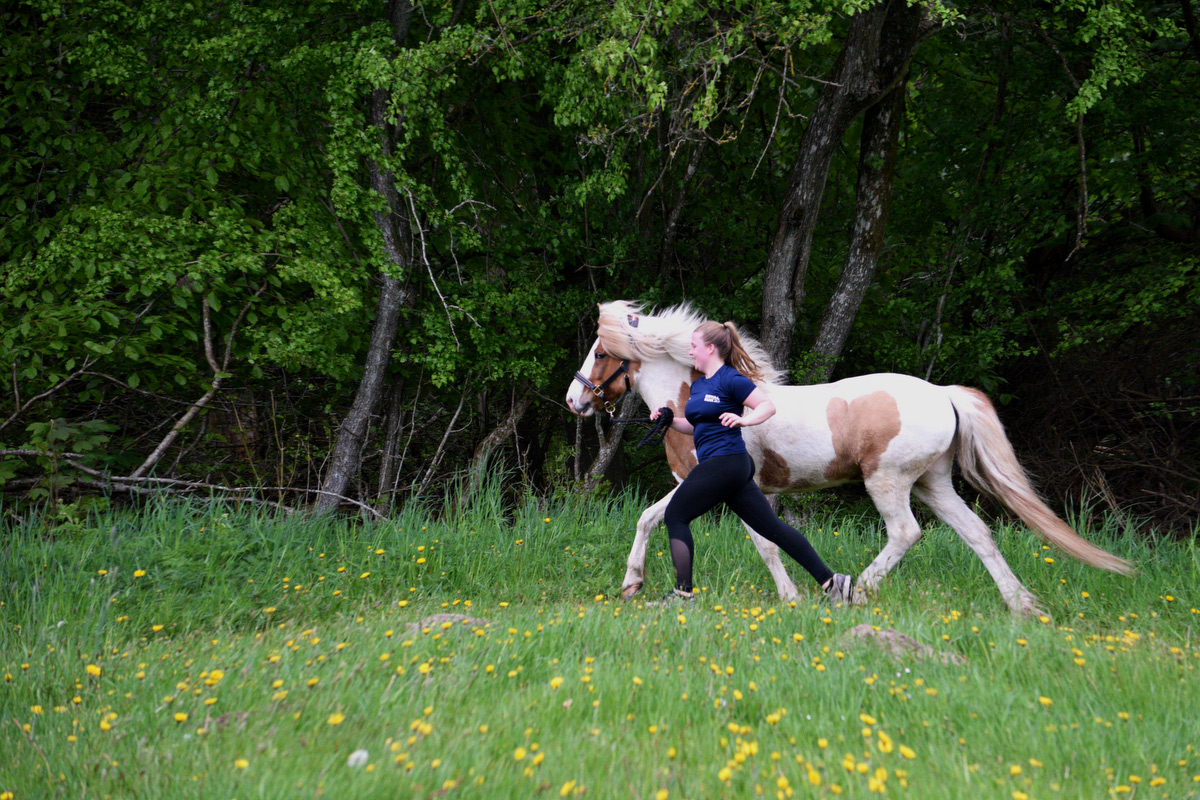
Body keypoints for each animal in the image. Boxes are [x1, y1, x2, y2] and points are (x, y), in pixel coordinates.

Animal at [564, 299, 1132, 618]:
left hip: (889, 481)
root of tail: (943, 394)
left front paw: (791, 597)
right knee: (978, 533)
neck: (689, 398)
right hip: (934, 484)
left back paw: (857, 590)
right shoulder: (701, 482)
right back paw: (1022, 605)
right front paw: (632, 585)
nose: (574, 401)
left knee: (906, 533)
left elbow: (764, 543)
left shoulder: (721, 484)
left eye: (599, 352)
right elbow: (649, 517)